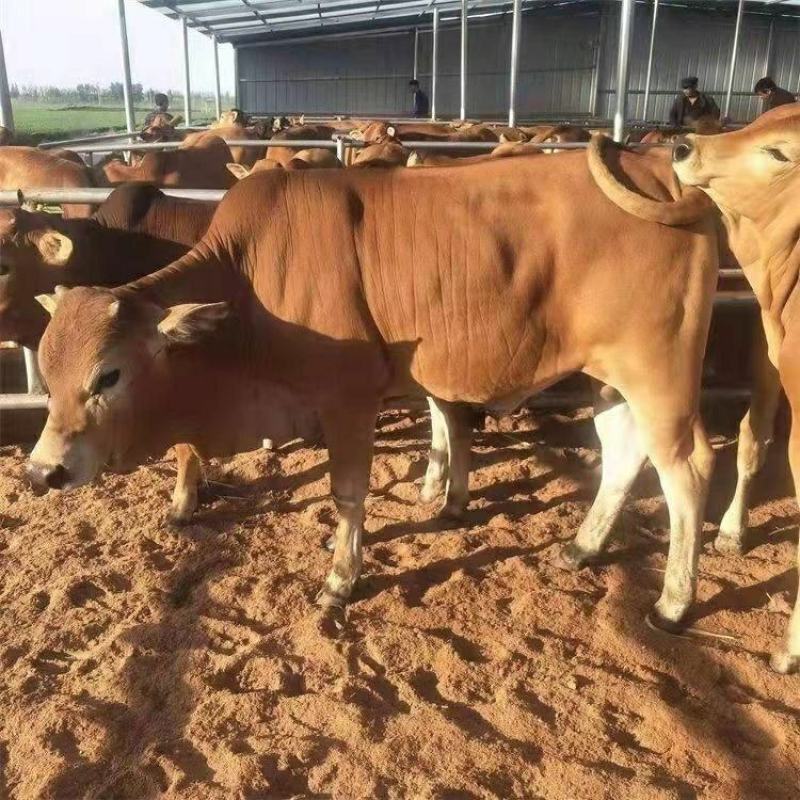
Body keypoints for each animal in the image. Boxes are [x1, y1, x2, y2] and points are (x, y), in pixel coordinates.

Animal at [29, 148, 720, 632]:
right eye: (49, 373)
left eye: (109, 374)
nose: (42, 472)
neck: (250, 280)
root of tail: (662, 171)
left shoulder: (349, 401)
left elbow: (348, 495)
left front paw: (341, 579)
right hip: (610, 376)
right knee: (624, 450)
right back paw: (582, 546)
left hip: (658, 373)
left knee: (686, 471)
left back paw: (673, 603)